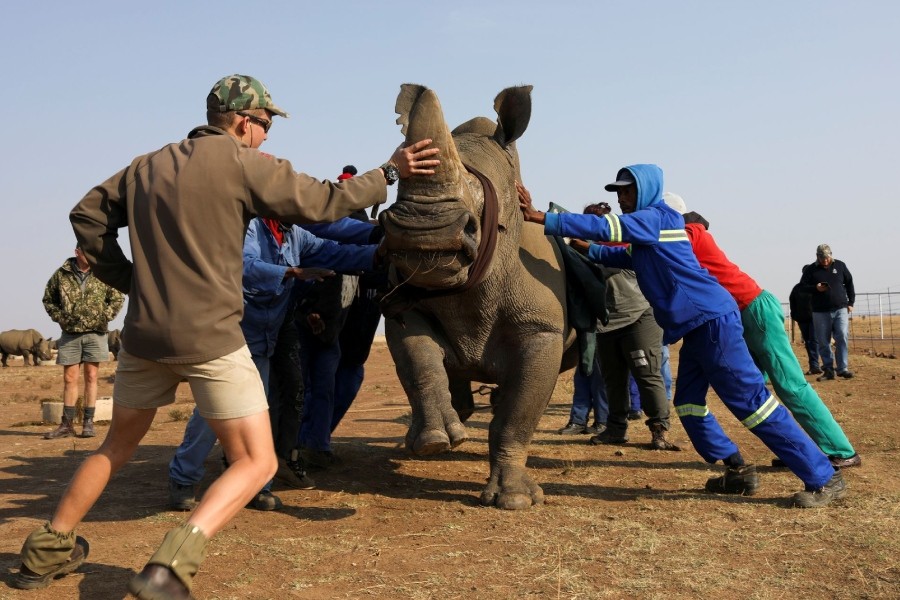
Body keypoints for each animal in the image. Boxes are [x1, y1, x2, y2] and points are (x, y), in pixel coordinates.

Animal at [378, 82, 576, 508]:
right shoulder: (402, 306)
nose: (422, 231)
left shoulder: (541, 329)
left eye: (482, 199)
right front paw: (433, 442)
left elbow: (517, 417)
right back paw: (432, 435)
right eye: (398, 187)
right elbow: (418, 363)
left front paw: (514, 500)